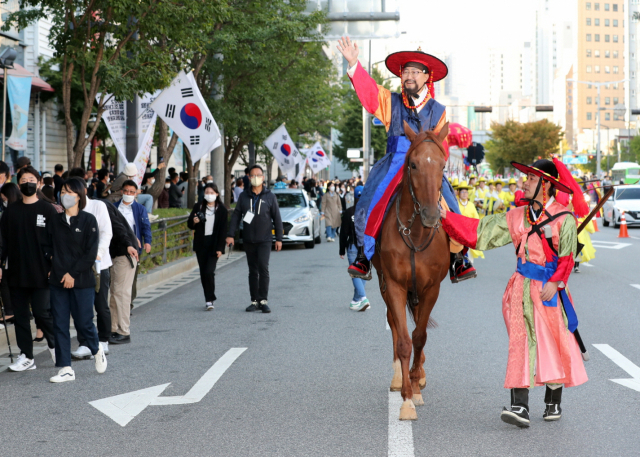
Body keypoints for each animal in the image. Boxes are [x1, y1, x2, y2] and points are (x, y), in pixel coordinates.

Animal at [370, 120, 450, 420]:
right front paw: (405, 398)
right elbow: (404, 339)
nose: (431, 215)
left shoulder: (431, 288)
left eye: (443, 165)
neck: (416, 233)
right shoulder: (394, 284)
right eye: (413, 164)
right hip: (384, 283)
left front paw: (415, 386)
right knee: (395, 323)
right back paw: (398, 378)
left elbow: (420, 336)